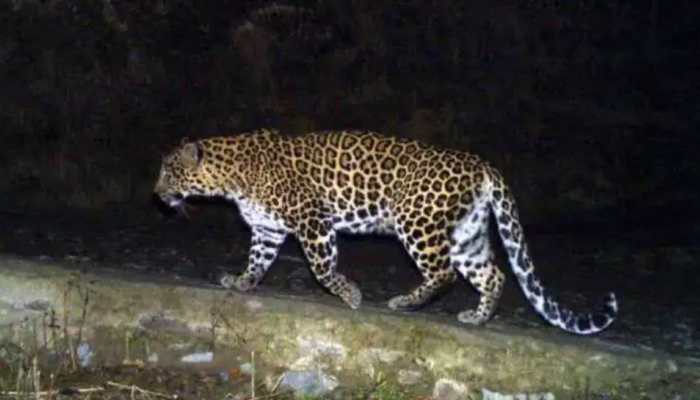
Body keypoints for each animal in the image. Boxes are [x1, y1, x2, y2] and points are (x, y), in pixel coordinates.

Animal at [154, 129, 617, 335]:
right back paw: (477, 317)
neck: (231, 175)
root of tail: (481, 164)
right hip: (466, 233)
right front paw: (242, 282)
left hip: (417, 222)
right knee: (494, 275)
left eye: (168, 171)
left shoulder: (312, 219)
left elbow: (322, 267)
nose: (157, 194)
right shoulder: (268, 229)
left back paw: (404, 302)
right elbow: (258, 261)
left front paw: (350, 295)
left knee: (444, 273)